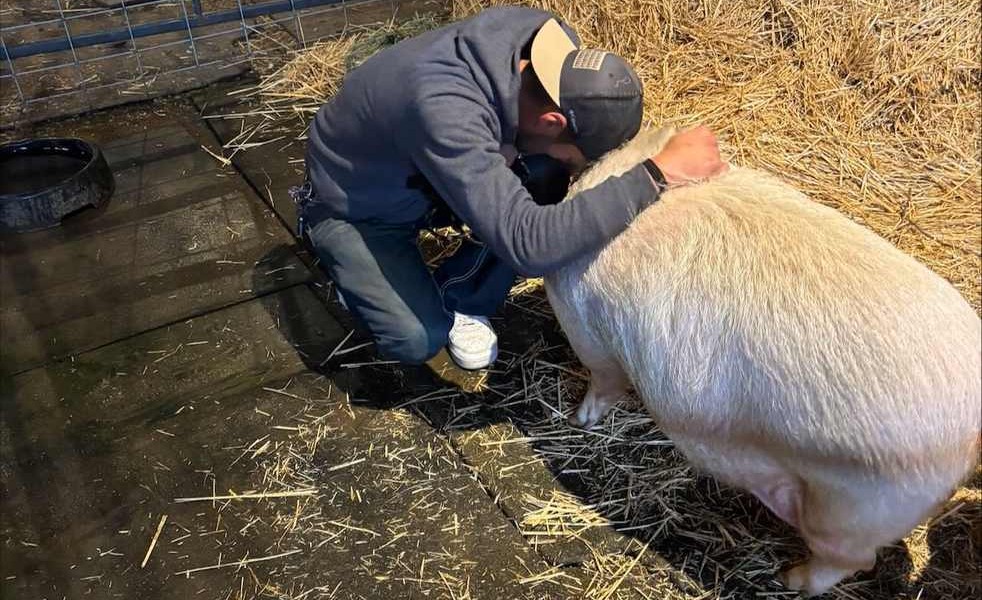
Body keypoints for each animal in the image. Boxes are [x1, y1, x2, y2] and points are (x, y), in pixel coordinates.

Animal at [543, 126, 982, 596]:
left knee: (853, 559)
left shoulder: (588, 332)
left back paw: (788, 577)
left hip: (855, 512)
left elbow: (602, 381)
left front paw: (579, 419)